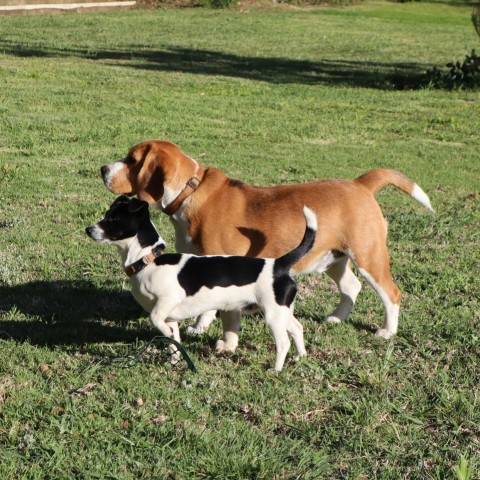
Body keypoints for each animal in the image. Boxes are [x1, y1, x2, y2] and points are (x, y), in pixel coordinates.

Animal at [86, 196, 318, 372]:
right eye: (107, 214)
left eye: (113, 219)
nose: (88, 229)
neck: (148, 260)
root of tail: (278, 265)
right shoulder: (170, 317)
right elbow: (173, 340)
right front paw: (175, 360)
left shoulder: (167, 302)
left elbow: (155, 320)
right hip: (282, 312)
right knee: (297, 328)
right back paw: (300, 356)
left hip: (272, 315)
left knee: (283, 342)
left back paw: (276, 368)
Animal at [99, 139, 434, 352]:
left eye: (132, 160)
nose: (102, 169)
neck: (190, 192)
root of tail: (360, 183)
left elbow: (216, 309)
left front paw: (206, 329)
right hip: (334, 258)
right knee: (351, 287)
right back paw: (336, 318)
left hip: (368, 256)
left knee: (391, 294)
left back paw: (387, 331)